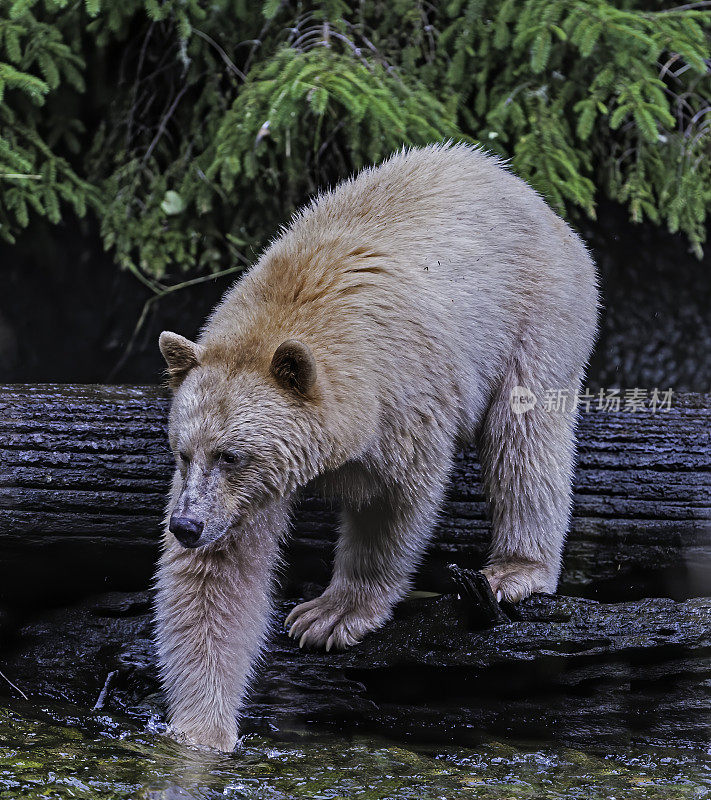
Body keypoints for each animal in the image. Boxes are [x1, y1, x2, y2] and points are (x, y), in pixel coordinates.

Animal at [153, 144, 596, 752]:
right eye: (183, 451)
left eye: (231, 455)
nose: (186, 525)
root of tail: (532, 195)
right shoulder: (236, 494)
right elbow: (217, 575)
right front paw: (202, 732)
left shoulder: (400, 393)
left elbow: (392, 499)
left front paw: (327, 616)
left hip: (537, 311)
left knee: (525, 438)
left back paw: (515, 570)